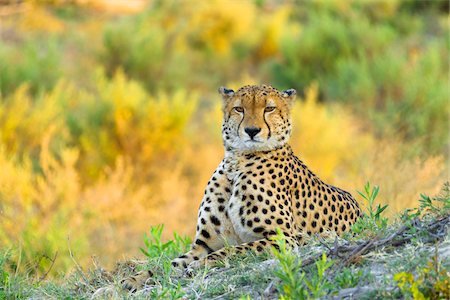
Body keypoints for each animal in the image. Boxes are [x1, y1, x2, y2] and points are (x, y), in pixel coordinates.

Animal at [123, 84, 362, 290]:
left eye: (269, 108)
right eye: (239, 109)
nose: (252, 130)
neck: (237, 161)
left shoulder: (284, 239)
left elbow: (236, 249)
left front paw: (200, 265)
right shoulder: (203, 244)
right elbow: (167, 264)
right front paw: (134, 279)